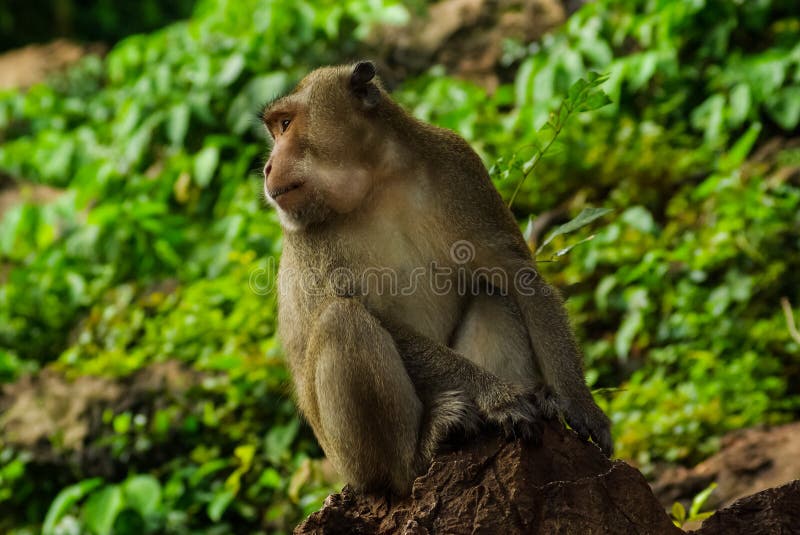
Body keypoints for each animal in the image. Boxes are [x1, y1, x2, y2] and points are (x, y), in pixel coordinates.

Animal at [260, 61, 612, 495]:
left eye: (286, 124)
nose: (268, 167)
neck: (377, 180)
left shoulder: (460, 167)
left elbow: (519, 280)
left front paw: (580, 405)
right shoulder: (307, 235)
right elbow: (377, 319)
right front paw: (497, 396)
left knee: (493, 292)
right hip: (350, 461)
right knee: (343, 320)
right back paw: (419, 454)